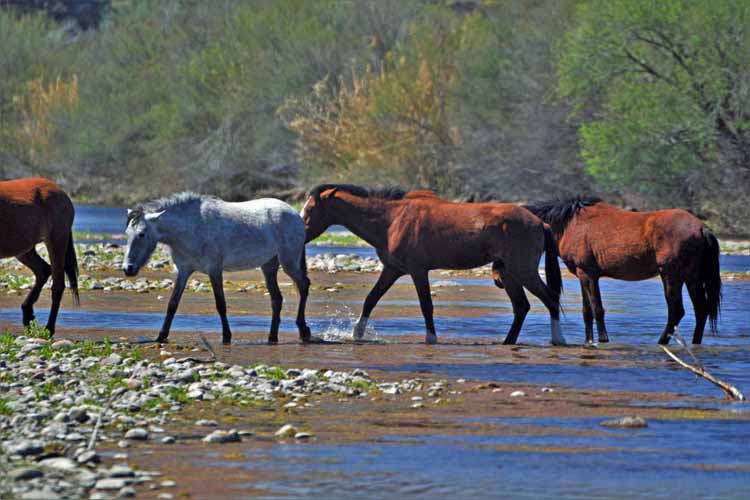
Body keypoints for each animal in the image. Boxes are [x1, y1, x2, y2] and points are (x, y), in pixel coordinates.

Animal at [0, 178, 79, 334]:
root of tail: (60, 191)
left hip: (56, 240)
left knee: (57, 285)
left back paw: (48, 329)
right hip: (25, 249)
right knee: (43, 270)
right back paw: (28, 314)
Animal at [123, 193, 312, 346]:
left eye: (141, 234)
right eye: (127, 234)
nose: (128, 268)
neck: (192, 227)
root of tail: (295, 214)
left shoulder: (214, 270)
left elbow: (220, 305)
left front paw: (227, 337)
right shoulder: (183, 271)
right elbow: (172, 304)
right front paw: (161, 336)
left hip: (289, 262)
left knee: (303, 285)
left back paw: (303, 330)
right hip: (269, 266)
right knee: (276, 299)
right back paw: (272, 337)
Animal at [302, 186, 568, 346]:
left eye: (310, 209)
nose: (299, 231)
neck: (392, 220)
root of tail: (540, 223)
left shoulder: (418, 271)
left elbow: (426, 306)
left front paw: (431, 338)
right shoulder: (393, 270)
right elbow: (371, 299)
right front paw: (356, 334)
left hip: (524, 271)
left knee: (550, 300)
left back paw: (558, 339)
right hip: (509, 273)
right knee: (521, 307)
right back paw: (507, 342)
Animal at [524, 197, 724, 346]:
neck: (571, 223)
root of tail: (701, 228)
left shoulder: (588, 274)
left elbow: (597, 309)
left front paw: (602, 340)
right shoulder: (583, 275)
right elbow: (587, 311)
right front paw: (588, 341)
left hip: (671, 277)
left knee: (676, 311)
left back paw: (661, 342)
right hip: (692, 279)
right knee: (701, 310)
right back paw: (695, 343)